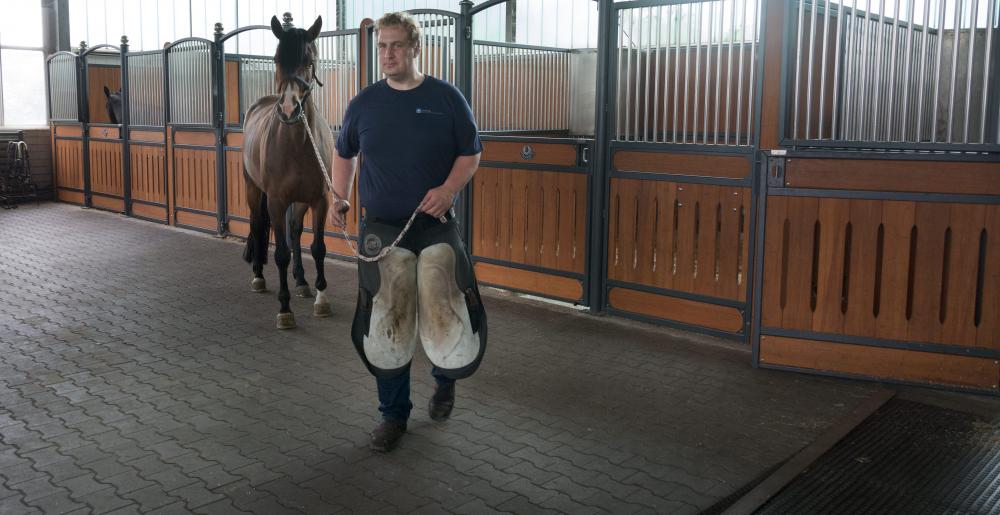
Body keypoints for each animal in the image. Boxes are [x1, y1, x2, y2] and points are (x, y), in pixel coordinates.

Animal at [242, 17, 336, 330]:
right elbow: (281, 253)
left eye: (309, 61)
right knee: (257, 224)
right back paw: (258, 277)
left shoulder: (320, 200)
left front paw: (321, 299)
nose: (288, 108)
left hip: (301, 200)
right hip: (253, 190)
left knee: (294, 229)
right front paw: (285, 309)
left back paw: (302, 282)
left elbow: (317, 247)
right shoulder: (275, 200)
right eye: (276, 59)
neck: (297, 144)